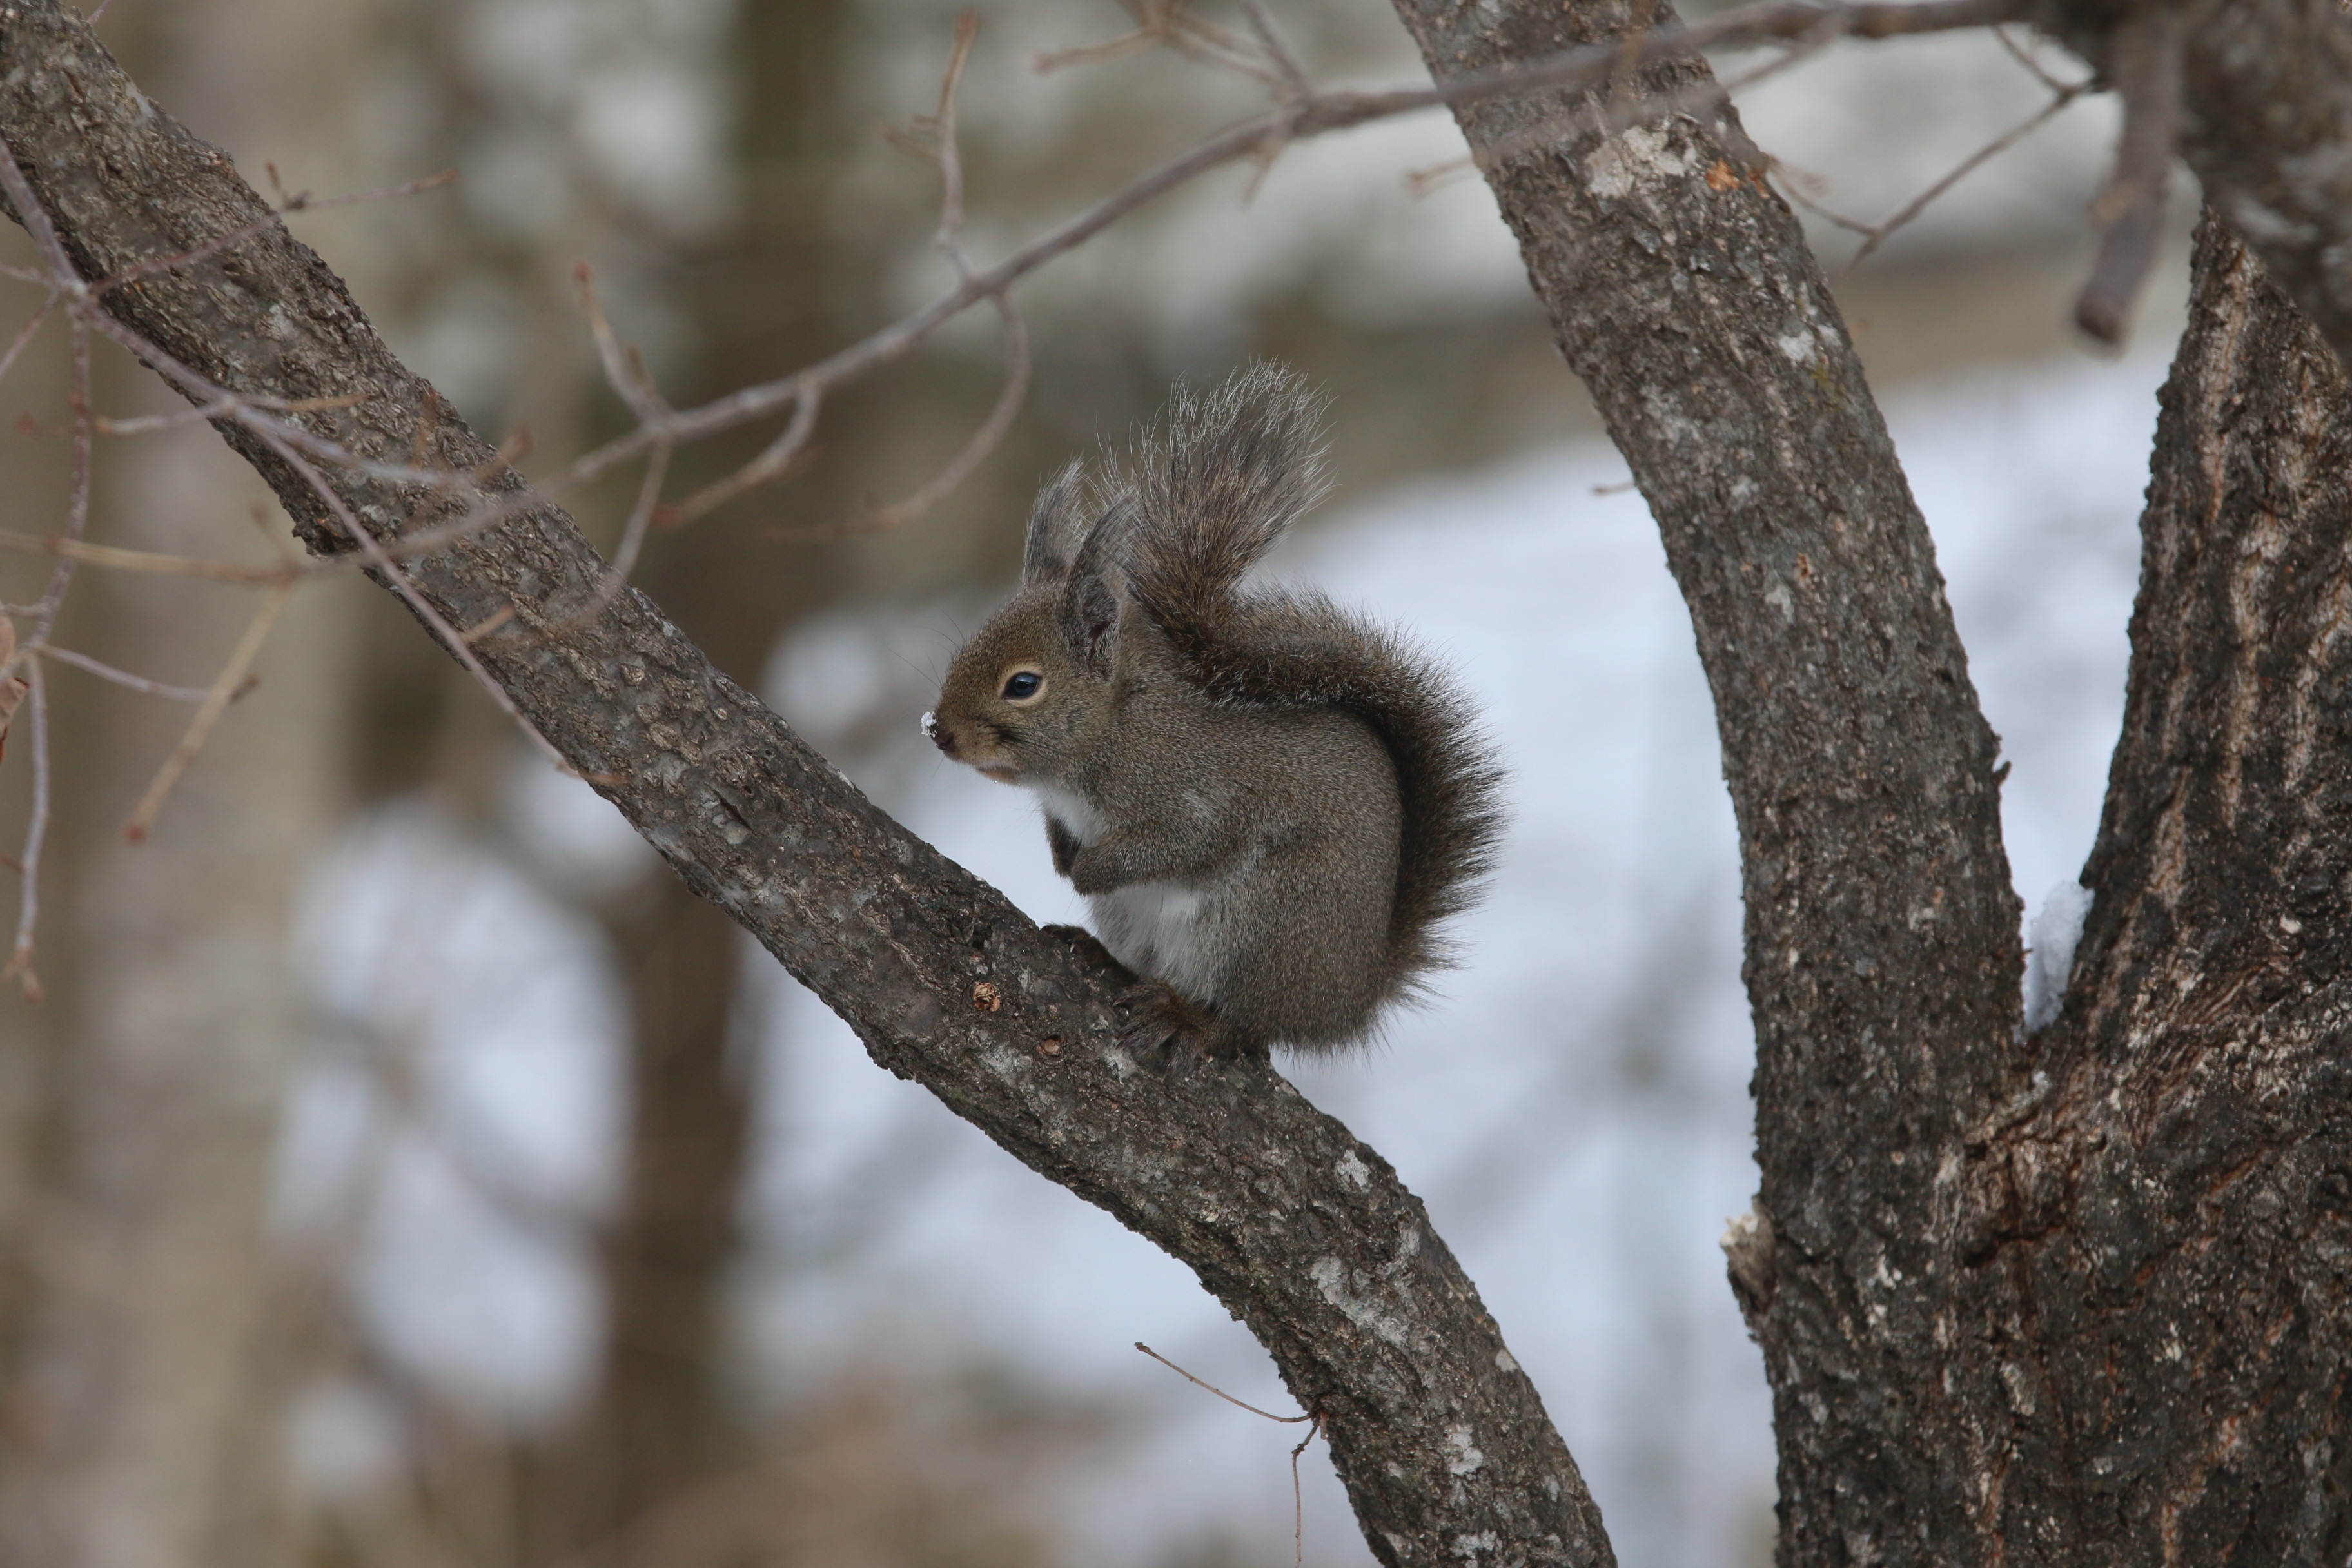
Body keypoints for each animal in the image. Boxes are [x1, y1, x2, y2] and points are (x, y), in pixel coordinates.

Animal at [922, 362, 1496, 1063]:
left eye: (1023, 684)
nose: (938, 731)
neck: (1114, 728)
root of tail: (1348, 1004)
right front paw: (1062, 855)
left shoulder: (1197, 794)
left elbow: (1188, 842)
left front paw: (1088, 868)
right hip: (1146, 923)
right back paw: (1102, 957)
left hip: (1262, 928)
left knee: (1246, 1027)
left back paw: (1190, 1018)